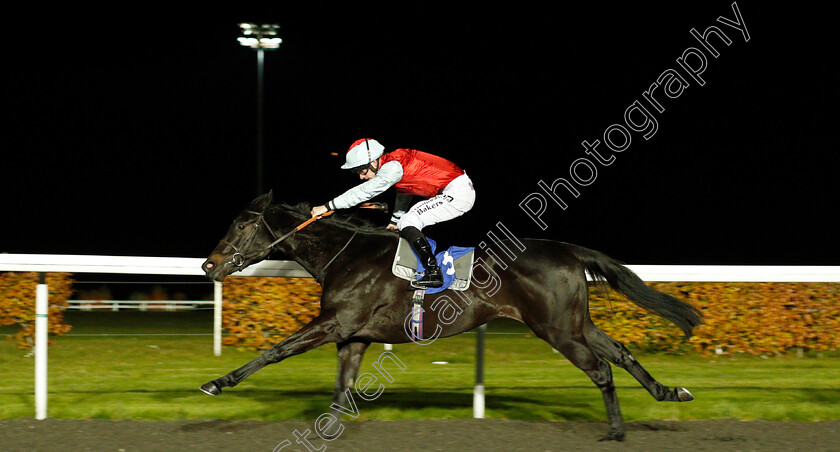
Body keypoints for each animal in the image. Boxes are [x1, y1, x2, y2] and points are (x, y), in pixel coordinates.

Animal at [200, 192, 700, 442]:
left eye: (242, 223)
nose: (208, 265)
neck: (348, 253)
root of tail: (569, 250)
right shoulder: (354, 335)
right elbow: (342, 389)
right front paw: (327, 430)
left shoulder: (335, 323)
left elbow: (276, 350)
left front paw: (218, 383)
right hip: (575, 323)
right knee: (620, 352)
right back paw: (668, 392)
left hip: (556, 329)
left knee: (600, 369)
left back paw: (615, 431)